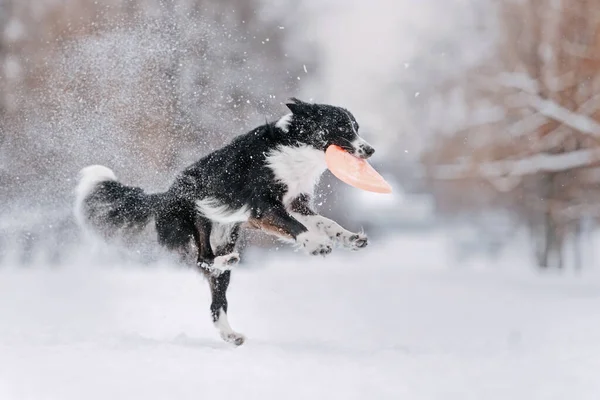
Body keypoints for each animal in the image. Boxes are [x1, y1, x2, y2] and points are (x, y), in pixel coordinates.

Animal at [74, 98, 376, 346]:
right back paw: (227, 261)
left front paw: (351, 238)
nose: (370, 150)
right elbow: (296, 227)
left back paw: (230, 333)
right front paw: (316, 245)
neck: (297, 150)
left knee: (214, 298)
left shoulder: (293, 204)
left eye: (356, 127)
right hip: (198, 221)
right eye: (342, 128)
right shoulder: (264, 206)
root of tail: (165, 196)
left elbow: (326, 223)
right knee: (201, 259)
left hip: (225, 235)